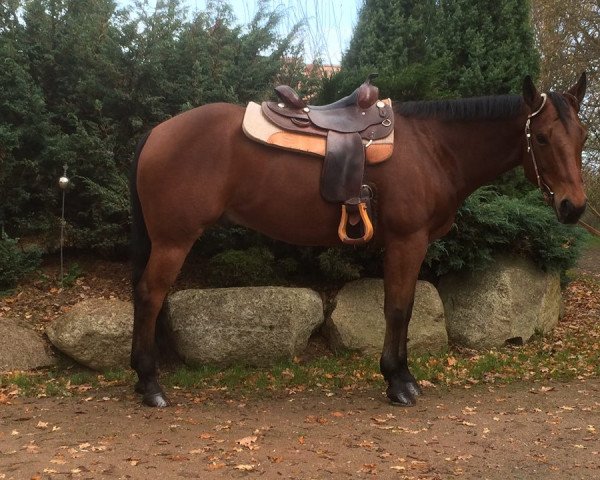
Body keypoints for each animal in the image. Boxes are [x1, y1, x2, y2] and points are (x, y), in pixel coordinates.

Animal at [130, 73, 584, 406]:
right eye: (542, 137)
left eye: (581, 137)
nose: (574, 207)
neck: (433, 147)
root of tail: (157, 133)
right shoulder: (407, 241)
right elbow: (397, 309)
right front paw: (398, 382)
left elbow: (407, 307)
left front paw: (402, 376)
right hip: (173, 240)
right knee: (151, 296)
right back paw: (151, 385)